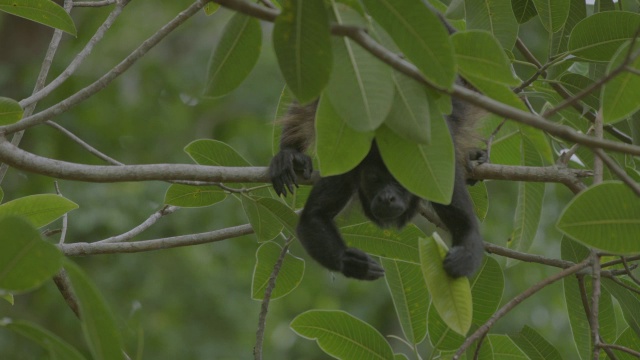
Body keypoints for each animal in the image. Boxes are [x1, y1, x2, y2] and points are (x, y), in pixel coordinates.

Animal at [268, 98, 484, 282]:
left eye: (399, 180)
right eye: (374, 179)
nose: (387, 198)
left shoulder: (443, 174)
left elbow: (465, 224)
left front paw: (462, 260)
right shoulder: (349, 160)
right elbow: (314, 216)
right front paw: (351, 263)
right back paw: (290, 156)